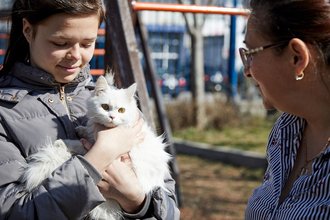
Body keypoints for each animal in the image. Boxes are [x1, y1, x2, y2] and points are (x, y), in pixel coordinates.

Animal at [21, 74, 171, 220]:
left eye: (121, 110)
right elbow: (85, 135)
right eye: (105, 107)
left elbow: (79, 144)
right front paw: (80, 130)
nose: (112, 117)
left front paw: (63, 142)